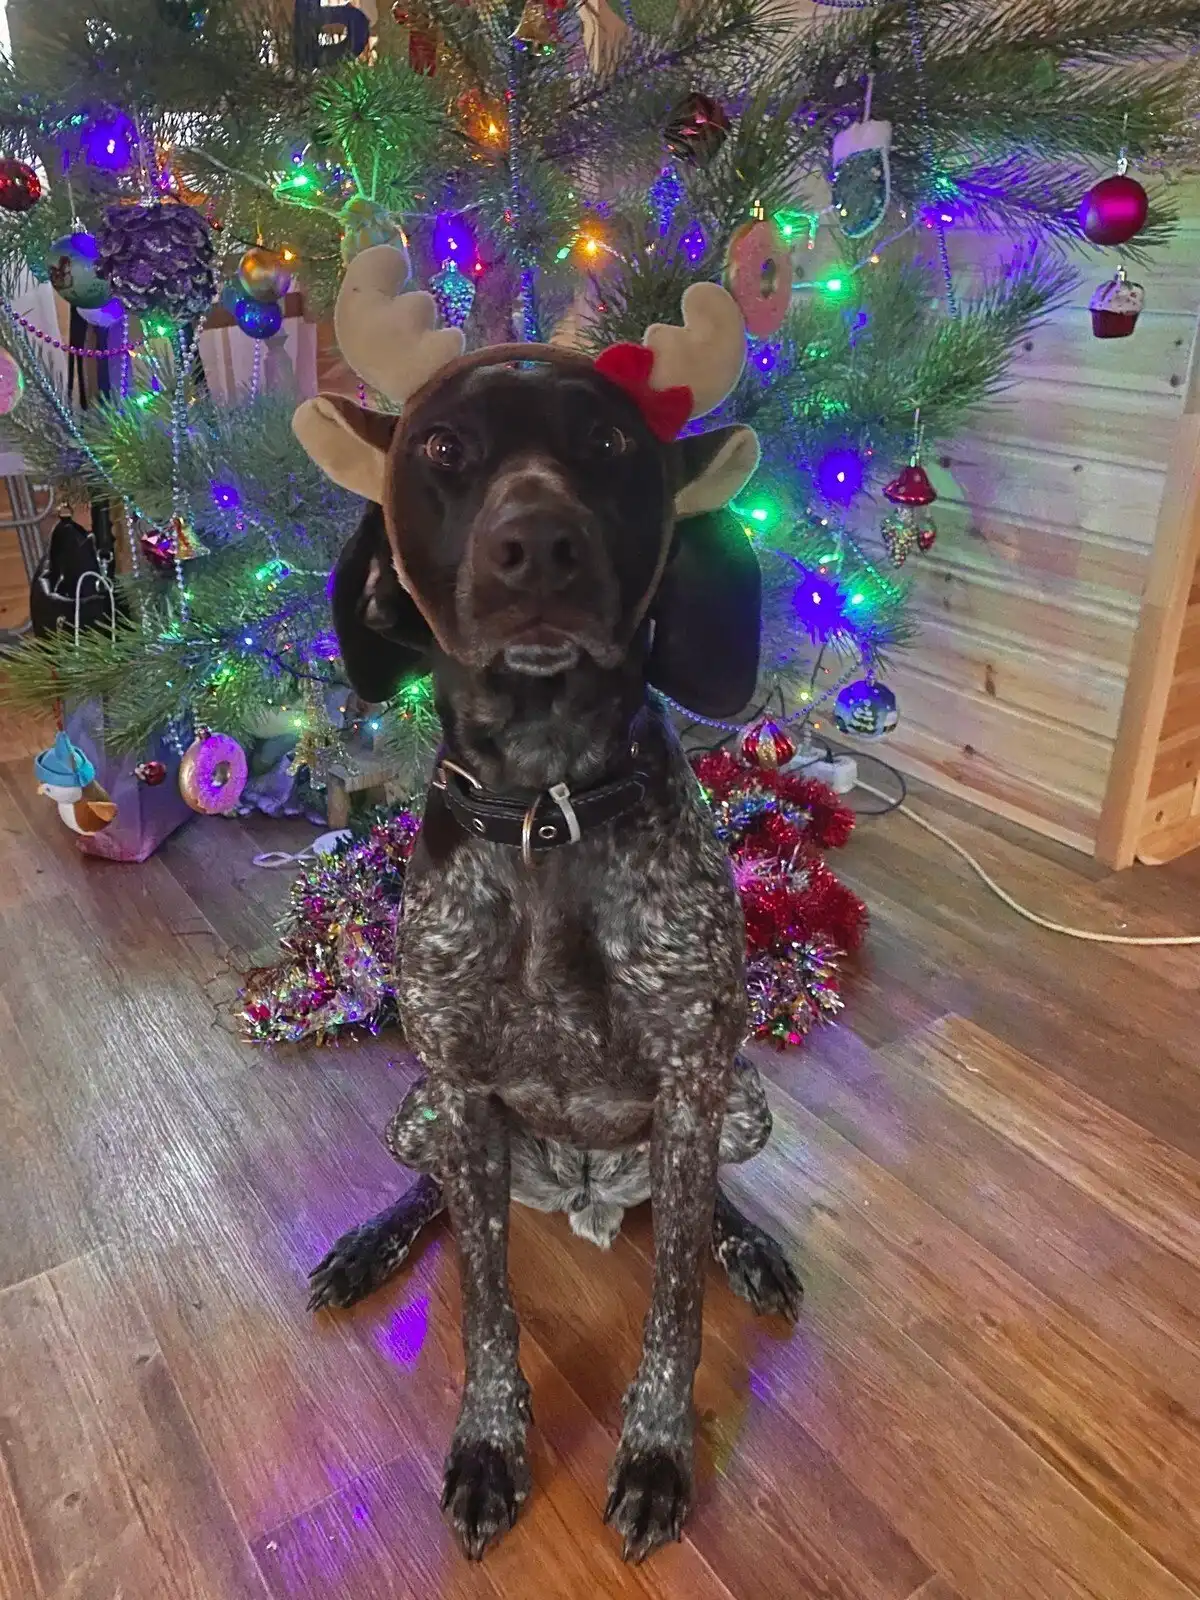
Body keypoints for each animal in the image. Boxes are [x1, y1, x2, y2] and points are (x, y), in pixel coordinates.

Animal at [294, 245, 802, 1562]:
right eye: (441, 448)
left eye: (612, 442)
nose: (537, 546)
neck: (547, 808)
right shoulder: (463, 1086)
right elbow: (485, 1307)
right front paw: (490, 1444)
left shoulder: (694, 1079)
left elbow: (674, 1307)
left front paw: (658, 1454)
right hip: (420, 1109)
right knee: (434, 1192)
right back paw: (367, 1246)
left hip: (742, 1103)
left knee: (700, 1208)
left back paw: (751, 1247)